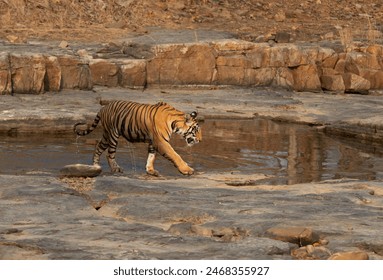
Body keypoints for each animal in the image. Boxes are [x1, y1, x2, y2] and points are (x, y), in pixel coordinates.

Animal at [73, 100, 202, 175]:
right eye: (196, 130)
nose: (200, 140)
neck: (175, 123)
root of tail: (103, 108)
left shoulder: (153, 141)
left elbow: (151, 156)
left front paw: (150, 170)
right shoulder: (161, 141)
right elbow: (175, 155)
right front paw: (187, 169)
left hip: (106, 135)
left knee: (98, 147)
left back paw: (95, 166)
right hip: (113, 135)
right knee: (109, 154)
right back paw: (116, 169)